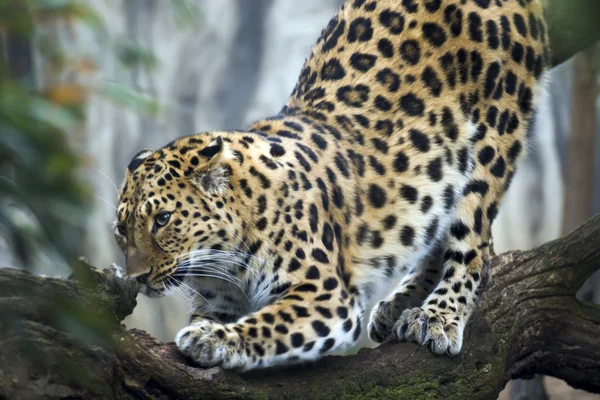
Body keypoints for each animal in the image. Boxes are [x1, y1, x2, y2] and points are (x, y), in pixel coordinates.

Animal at [113, 0, 548, 370]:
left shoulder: (324, 294)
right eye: (121, 229)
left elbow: (268, 323)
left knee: (475, 247)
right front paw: (207, 329)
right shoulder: (221, 298)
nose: (136, 278)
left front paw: (214, 340)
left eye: (163, 219)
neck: (223, 259)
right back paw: (398, 306)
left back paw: (436, 316)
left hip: (491, 146)